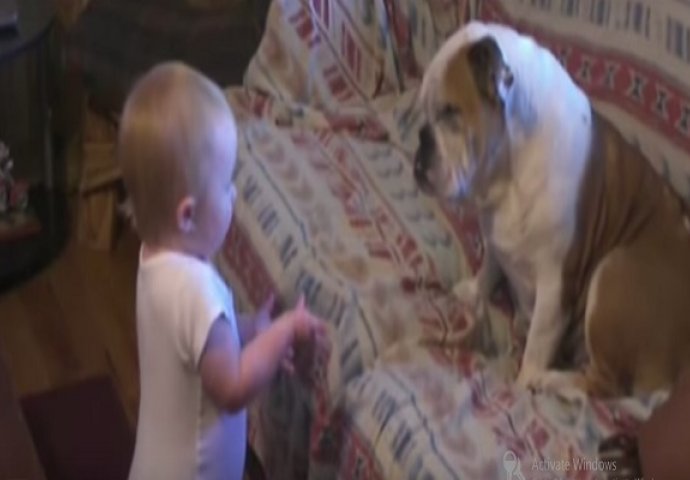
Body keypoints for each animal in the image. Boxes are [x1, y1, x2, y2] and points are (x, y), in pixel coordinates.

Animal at [413, 21, 690, 396]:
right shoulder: (496, 239)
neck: (509, 169)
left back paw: (552, 381)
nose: (421, 142)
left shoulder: (555, 283)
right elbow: (490, 268)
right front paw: (473, 290)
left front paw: (523, 383)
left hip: (613, 272)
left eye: (449, 112)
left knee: (603, 382)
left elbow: (538, 343)